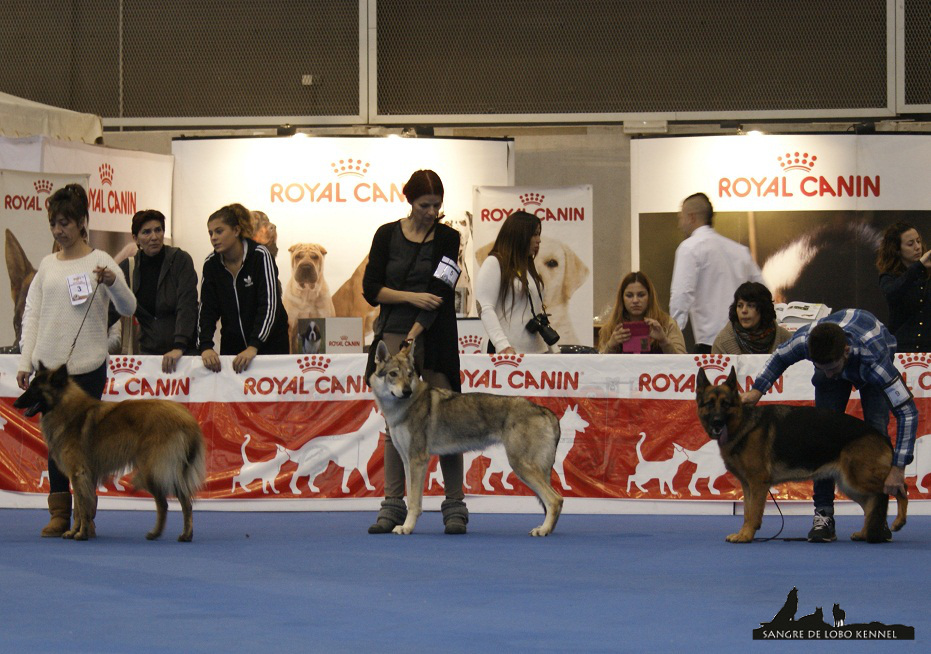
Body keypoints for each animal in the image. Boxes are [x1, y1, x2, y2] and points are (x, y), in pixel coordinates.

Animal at [13, 364, 206, 544]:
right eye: (30, 386)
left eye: (35, 389)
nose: (15, 403)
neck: (64, 407)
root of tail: (187, 419)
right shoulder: (84, 475)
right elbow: (81, 506)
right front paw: (76, 532)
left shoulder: (78, 473)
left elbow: (82, 506)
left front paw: (81, 534)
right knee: (181, 503)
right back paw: (177, 534)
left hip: (154, 469)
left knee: (169, 503)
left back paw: (167, 533)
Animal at [370, 344, 560, 540]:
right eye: (393, 374)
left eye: (409, 374)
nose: (407, 391)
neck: (403, 408)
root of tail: (543, 409)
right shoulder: (407, 461)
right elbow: (410, 498)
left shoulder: (418, 460)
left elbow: (414, 502)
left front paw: (407, 527)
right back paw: (546, 528)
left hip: (521, 466)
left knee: (555, 499)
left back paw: (543, 530)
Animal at [696, 368, 908, 544]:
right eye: (709, 404)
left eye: (725, 404)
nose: (717, 422)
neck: (743, 423)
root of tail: (881, 436)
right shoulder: (747, 485)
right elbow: (747, 512)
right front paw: (744, 533)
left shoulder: (757, 483)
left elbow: (753, 513)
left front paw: (747, 535)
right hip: (850, 485)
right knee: (872, 503)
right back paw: (865, 532)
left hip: (858, 479)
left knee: (896, 489)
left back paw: (896, 522)